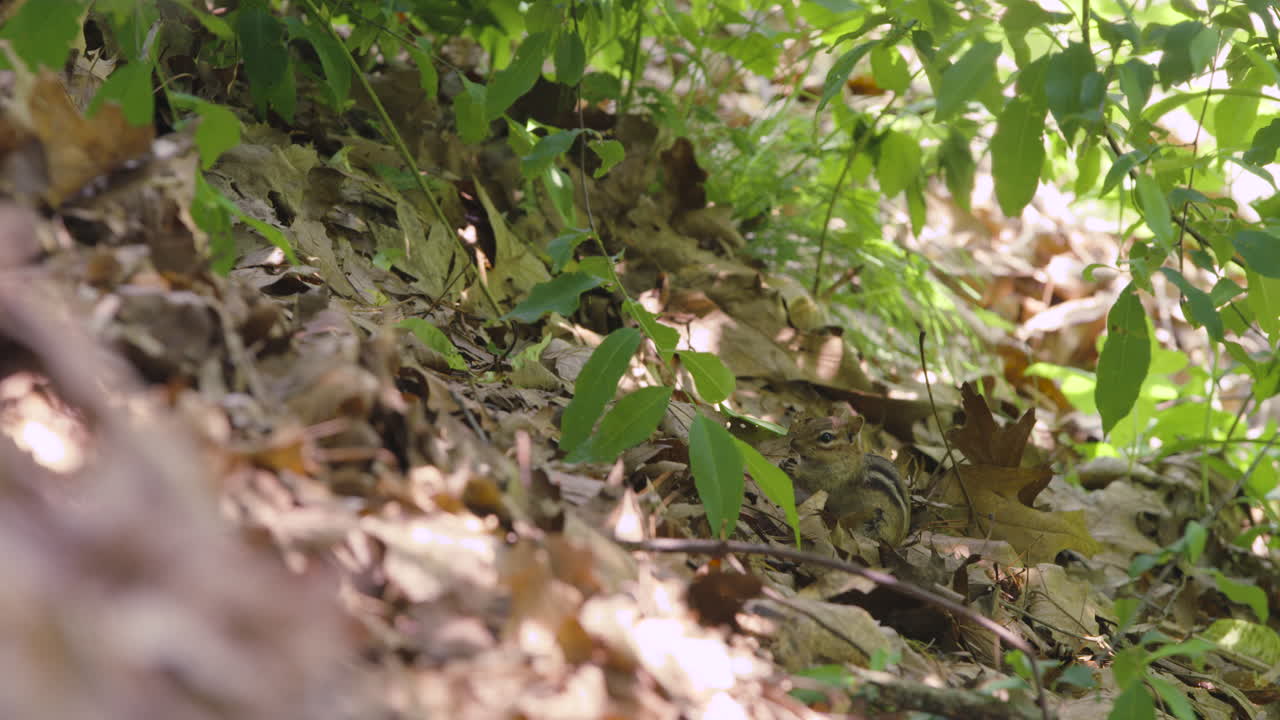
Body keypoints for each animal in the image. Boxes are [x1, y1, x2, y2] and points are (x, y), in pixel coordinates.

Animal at [780, 412, 910, 545]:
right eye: (810, 421)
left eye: (826, 437)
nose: (793, 443)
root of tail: (898, 541)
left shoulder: (836, 477)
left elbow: (815, 483)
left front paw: (796, 470)